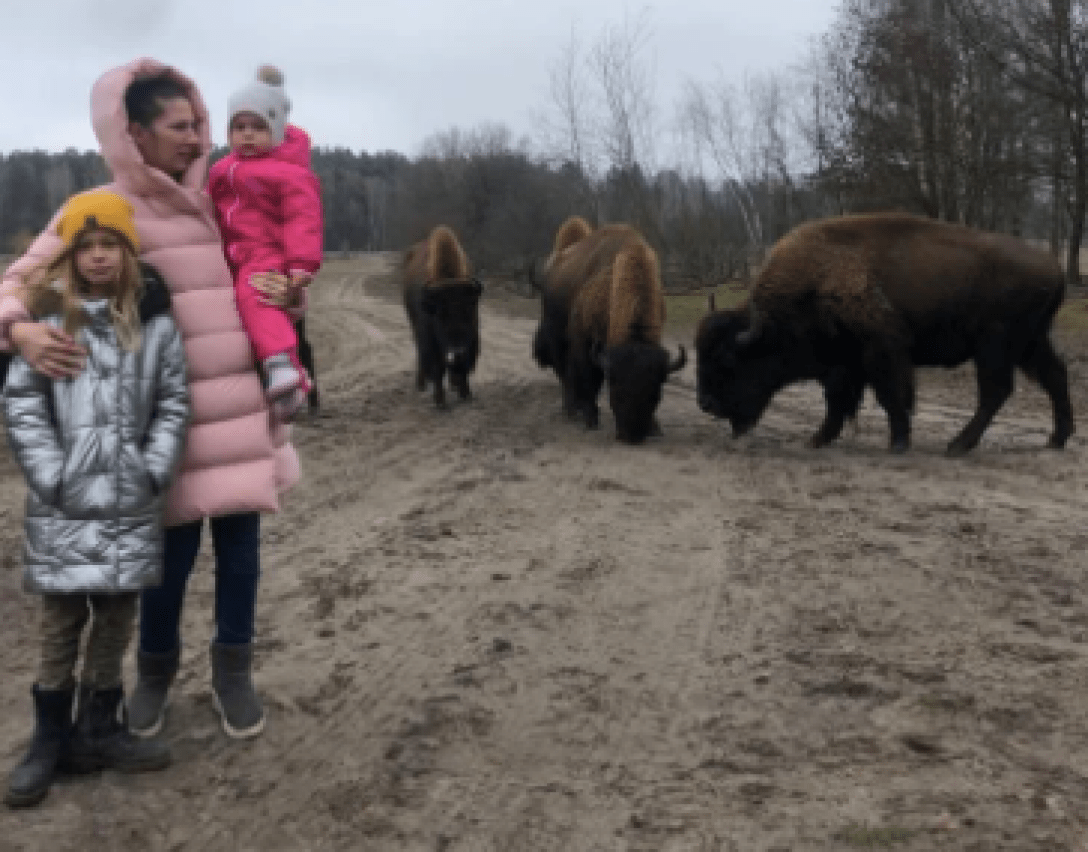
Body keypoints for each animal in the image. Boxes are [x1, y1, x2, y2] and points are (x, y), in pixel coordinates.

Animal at [402, 226, 483, 409]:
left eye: (469, 311)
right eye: (440, 315)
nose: (457, 349)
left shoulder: (471, 338)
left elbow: (464, 364)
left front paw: (465, 393)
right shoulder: (431, 339)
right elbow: (438, 367)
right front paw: (440, 402)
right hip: (415, 327)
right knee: (421, 354)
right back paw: (422, 384)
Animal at [535, 218, 687, 446]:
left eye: (655, 394)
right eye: (616, 391)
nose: (631, 436)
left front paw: (655, 428)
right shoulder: (584, 341)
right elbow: (589, 379)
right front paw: (591, 419)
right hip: (557, 338)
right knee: (564, 374)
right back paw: (570, 410)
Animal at [696, 211, 1070, 457]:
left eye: (727, 361)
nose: (705, 404)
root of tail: (1054, 267)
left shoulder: (880, 352)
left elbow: (889, 396)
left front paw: (898, 443)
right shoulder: (845, 365)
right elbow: (838, 401)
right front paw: (818, 439)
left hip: (996, 345)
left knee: (996, 390)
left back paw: (958, 445)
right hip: (1030, 342)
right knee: (1054, 376)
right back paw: (1057, 439)